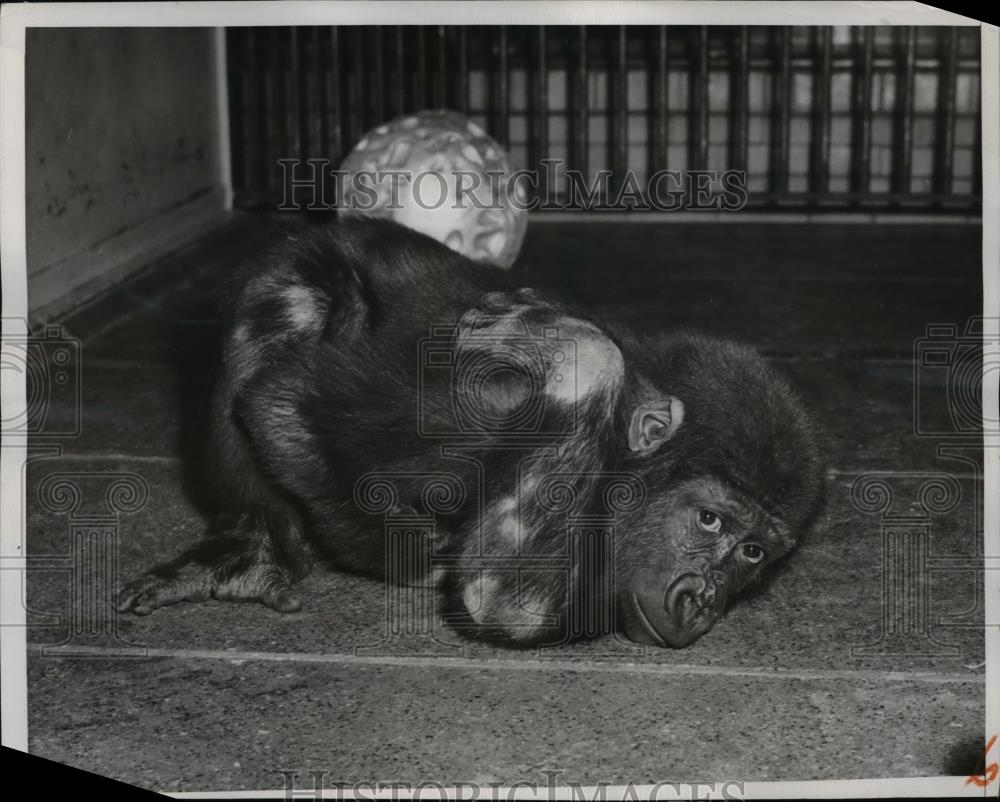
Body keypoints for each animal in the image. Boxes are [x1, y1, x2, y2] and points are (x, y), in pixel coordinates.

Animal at [117, 216, 824, 648]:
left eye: (752, 553)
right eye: (709, 520)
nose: (705, 598)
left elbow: (507, 598)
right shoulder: (487, 404)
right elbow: (282, 404)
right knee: (291, 298)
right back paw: (253, 548)